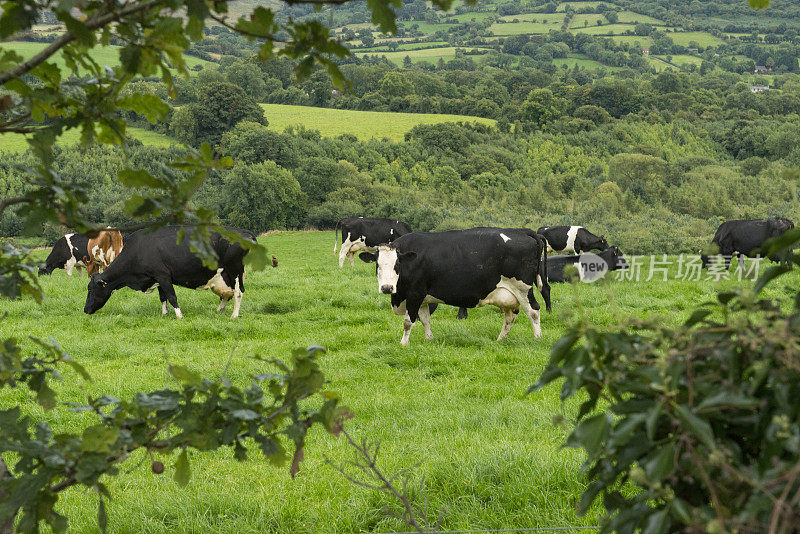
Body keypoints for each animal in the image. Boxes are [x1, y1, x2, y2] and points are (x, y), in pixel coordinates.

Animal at [85, 225, 253, 318]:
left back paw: (234, 315)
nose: (86, 309)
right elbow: (163, 297)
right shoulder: (156, 278)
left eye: (91, 289)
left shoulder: (163, 275)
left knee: (238, 292)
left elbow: (172, 296)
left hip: (235, 270)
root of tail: (245, 232)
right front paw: (164, 314)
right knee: (227, 295)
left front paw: (179, 316)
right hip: (225, 275)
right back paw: (218, 310)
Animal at [362, 227, 552, 346]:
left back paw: (538, 338)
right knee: (510, 316)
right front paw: (429, 339)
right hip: (508, 294)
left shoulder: (415, 293)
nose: (387, 288)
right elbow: (425, 319)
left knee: (533, 311)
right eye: (377, 265)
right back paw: (500, 340)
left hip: (522, 288)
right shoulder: (422, 297)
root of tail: (522, 231)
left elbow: (408, 322)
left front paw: (403, 344)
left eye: (397, 265)